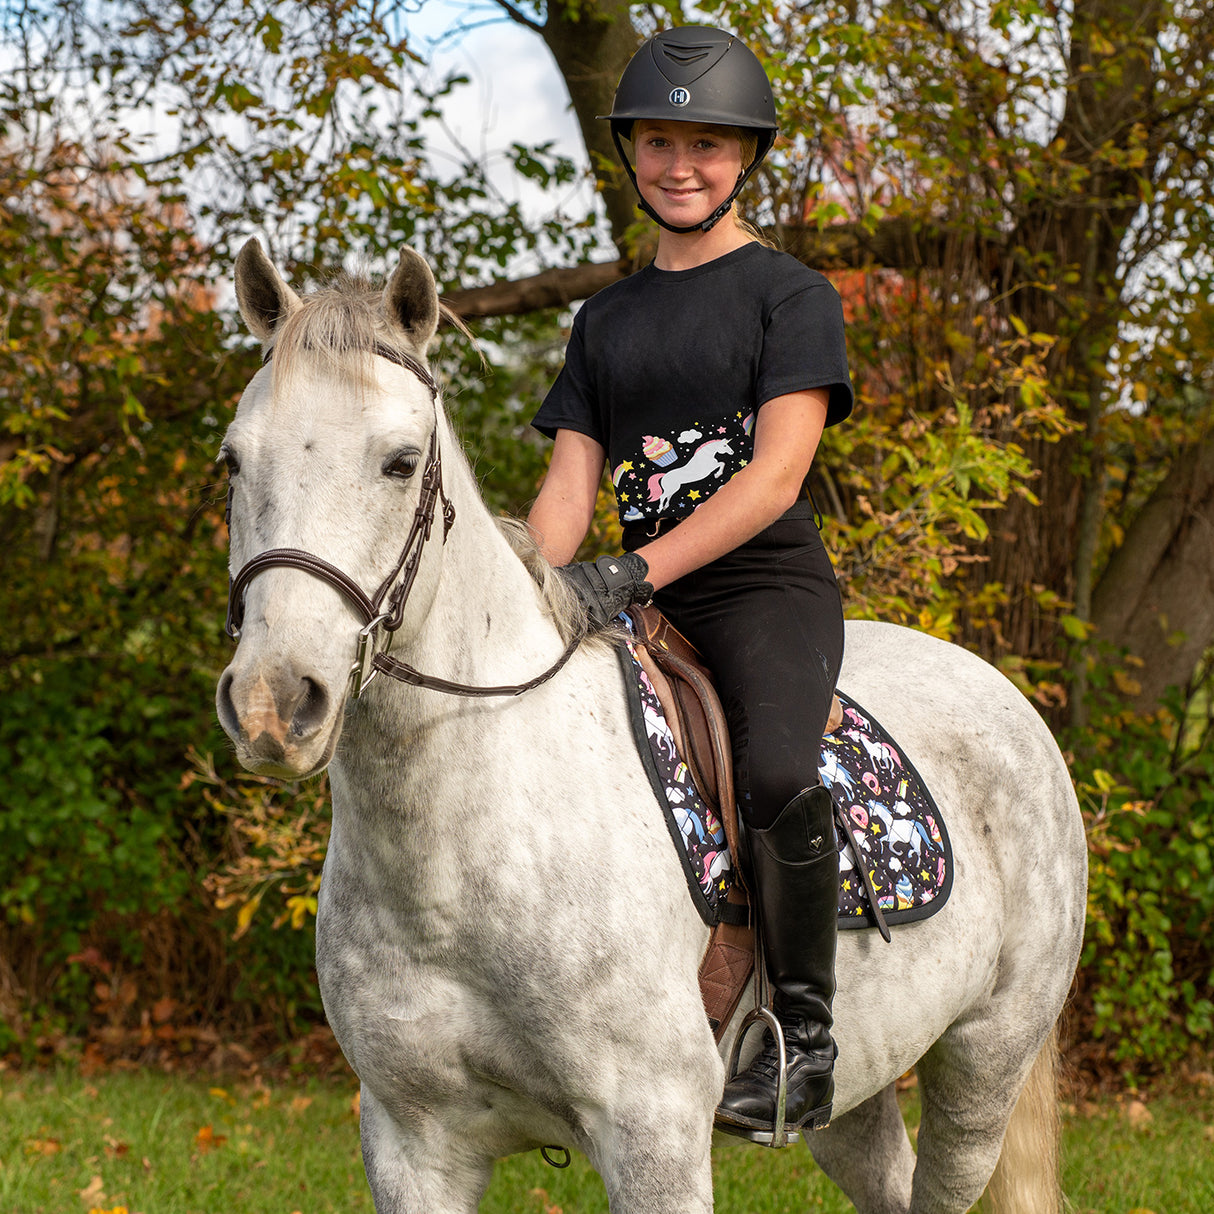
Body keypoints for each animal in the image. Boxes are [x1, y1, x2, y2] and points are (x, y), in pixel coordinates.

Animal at [215, 239, 1088, 1214]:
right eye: (233, 462)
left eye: (400, 463)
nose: (274, 703)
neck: (457, 859)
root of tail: (1005, 694)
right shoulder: (411, 1145)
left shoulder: (654, 1135)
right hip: (863, 1083)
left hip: (985, 1063)